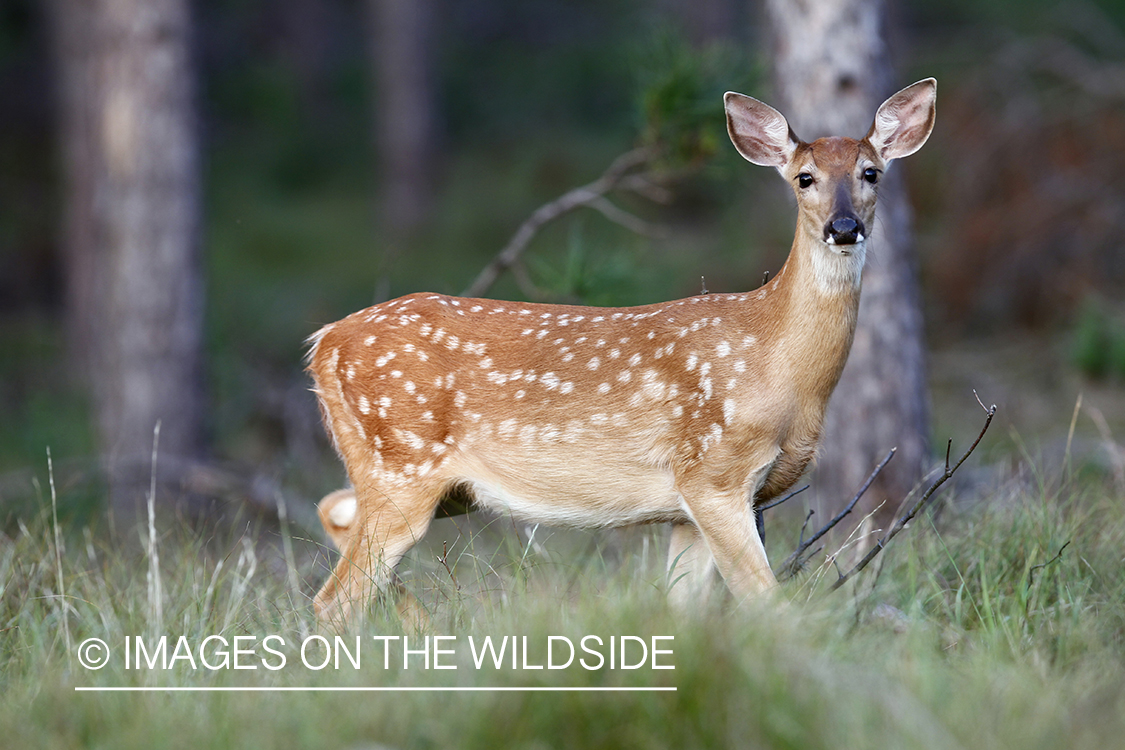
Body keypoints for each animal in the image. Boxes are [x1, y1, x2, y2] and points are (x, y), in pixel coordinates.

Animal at [306, 79, 937, 624]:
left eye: (871, 173)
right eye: (804, 178)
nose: (844, 227)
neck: (778, 364)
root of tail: (324, 342)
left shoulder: (686, 506)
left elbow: (684, 610)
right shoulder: (714, 472)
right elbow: (767, 604)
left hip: (429, 484)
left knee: (334, 517)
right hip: (401, 462)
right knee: (335, 599)